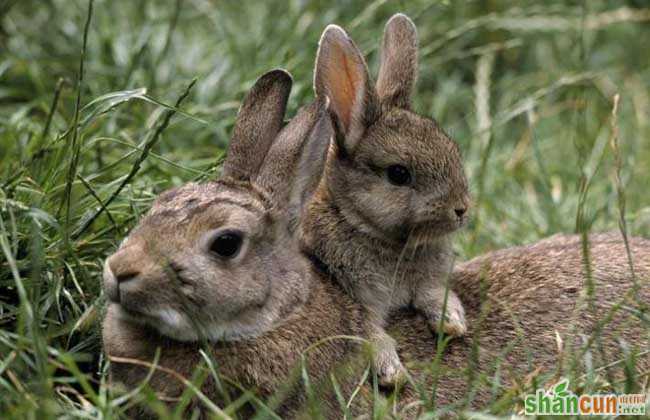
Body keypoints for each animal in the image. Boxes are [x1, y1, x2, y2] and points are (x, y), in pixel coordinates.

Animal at [296, 13, 468, 388]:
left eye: (453, 151)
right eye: (398, 174)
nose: (461, 209)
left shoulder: (427, 280)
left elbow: (434, 292)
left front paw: (453, 321)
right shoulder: (355, 298)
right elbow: (370, 333)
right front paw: (392, 372)